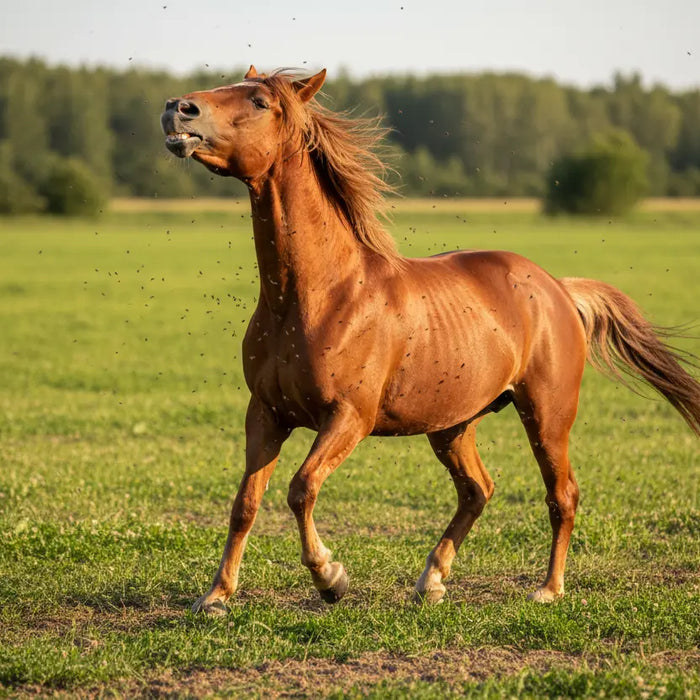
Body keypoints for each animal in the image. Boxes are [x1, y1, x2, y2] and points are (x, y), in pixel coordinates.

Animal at [161, 66, 700, 615]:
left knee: (562, 494)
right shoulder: (266, 414)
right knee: (477, 490)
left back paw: (548, 588)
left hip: (546, 415)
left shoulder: (349, 418)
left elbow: (300, 488)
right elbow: (245, 503)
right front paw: (216, 596)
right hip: (453, 425)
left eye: (259, 100)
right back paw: (432, 580)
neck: (316, 296)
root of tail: (559, 289)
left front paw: (331, 577)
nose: (177, 109)